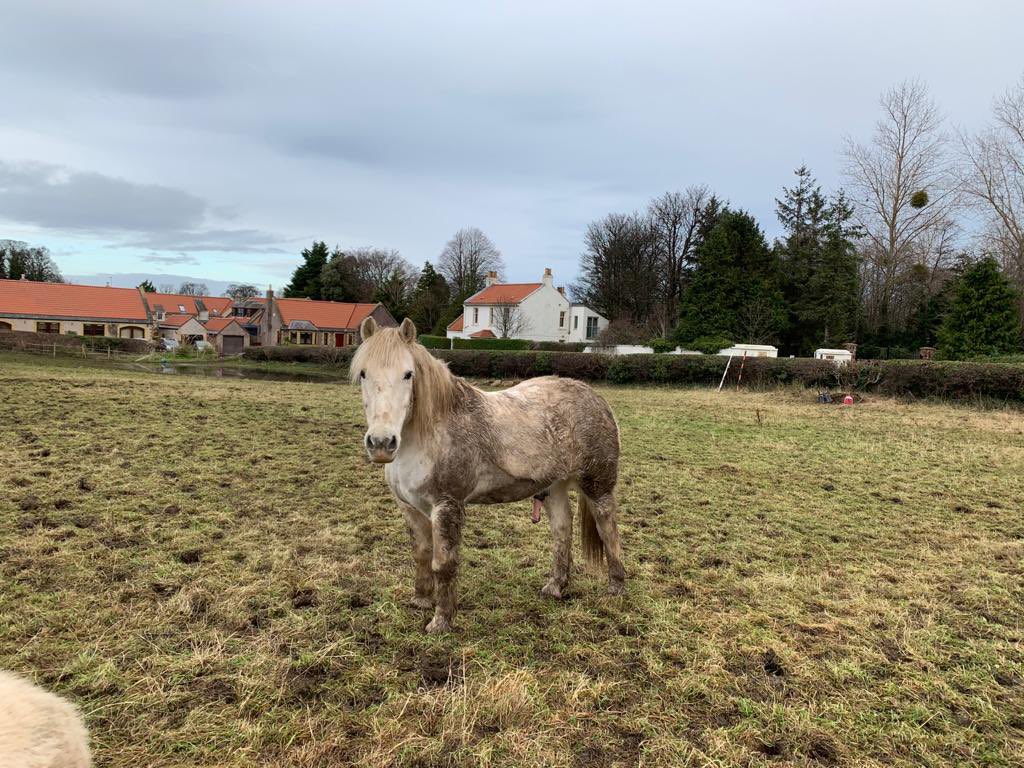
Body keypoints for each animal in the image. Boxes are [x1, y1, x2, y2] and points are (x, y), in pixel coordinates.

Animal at [351, 316, 624, 633]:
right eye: (363, 373)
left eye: (408, 374)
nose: (382, 443)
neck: (430, 432)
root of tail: (596, 399)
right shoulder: (409, 506)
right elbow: (421, 554)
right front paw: (421, 600)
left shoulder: (446, 505)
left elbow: (443, 563)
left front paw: (441, 621)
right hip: (554, 487)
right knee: (561, 532)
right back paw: (555, 587)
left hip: (597, 486)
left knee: (608, 529)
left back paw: (616, 587)